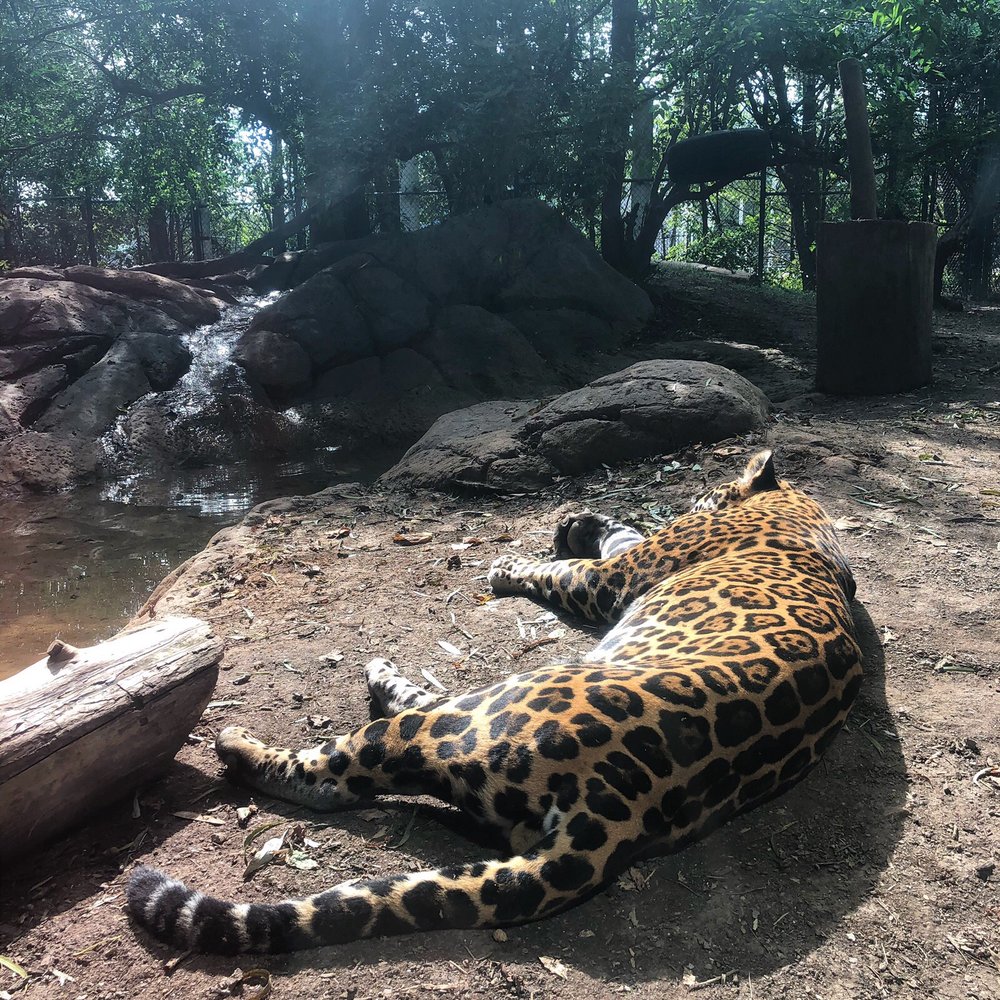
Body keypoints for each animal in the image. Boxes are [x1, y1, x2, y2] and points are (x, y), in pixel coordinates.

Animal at [127, 450, 862, 954]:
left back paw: (244, 745)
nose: (694, 500)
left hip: (465, 719)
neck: (804, 513)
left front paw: (509, 566)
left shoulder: (611, 580)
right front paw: (583, 520)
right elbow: (614, 534)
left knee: (336, 775)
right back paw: (384, 676)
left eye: (710, 491)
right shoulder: (627, 564)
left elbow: (560, 570)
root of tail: (614, 817)